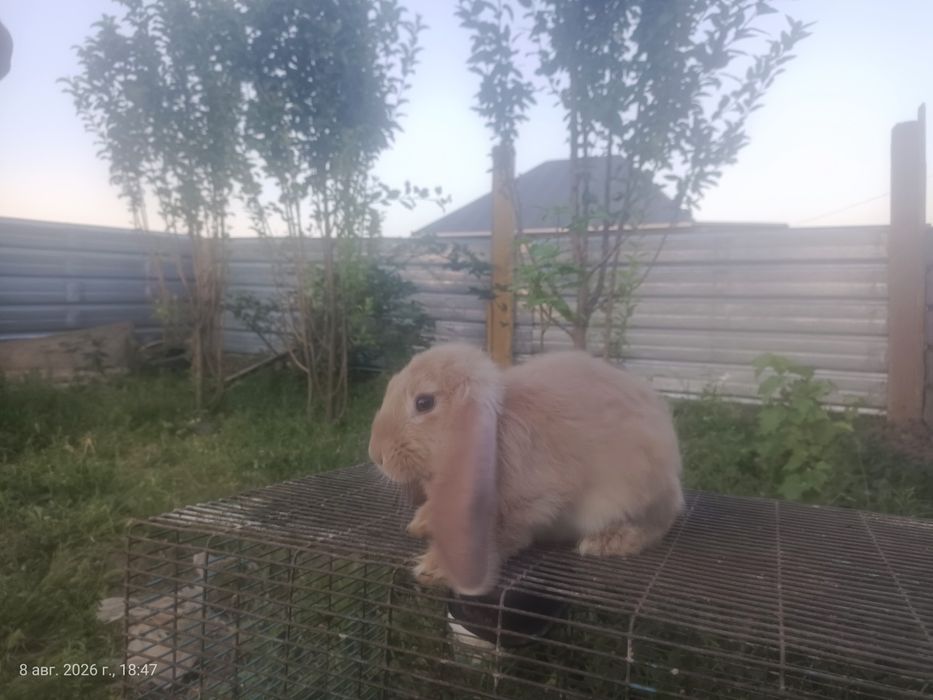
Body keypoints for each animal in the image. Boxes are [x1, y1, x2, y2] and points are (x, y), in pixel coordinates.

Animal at [368, 343, 684, 596]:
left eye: (424, 403)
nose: (376, 455)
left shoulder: (527, 502)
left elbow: (502, 533)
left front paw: (433, 569)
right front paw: (421, 524)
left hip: (634, 495)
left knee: (655, 527)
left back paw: (605, 542)